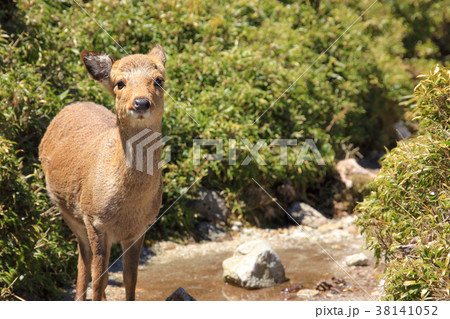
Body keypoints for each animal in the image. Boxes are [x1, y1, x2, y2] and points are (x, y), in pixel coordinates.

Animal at [39, 45, 167, 302]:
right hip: (71, 215)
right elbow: (98, 280)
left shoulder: (141, 227)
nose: (141, 102)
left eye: (159, 80)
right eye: (120, 83)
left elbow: (130, 280)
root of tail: (72, 105)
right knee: (84, 262)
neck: (128, 209)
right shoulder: (95, 221)